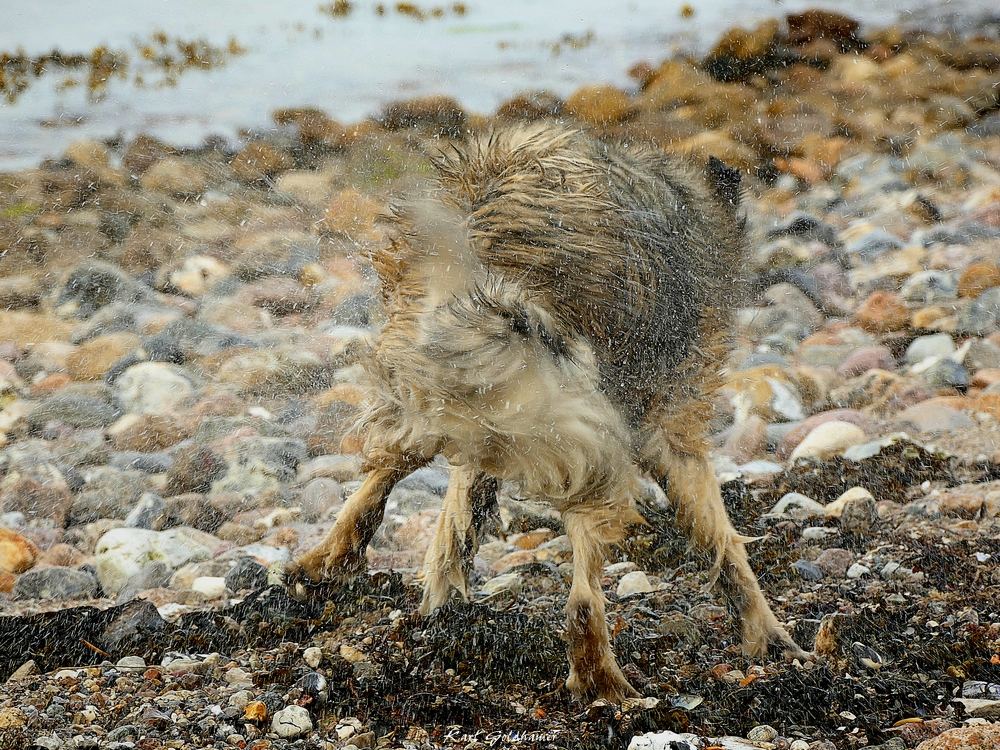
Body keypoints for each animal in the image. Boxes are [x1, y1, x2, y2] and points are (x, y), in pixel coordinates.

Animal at [292, 123, 808, 704]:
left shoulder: (490, 422)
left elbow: (458, 516)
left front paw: (442, 599)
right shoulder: (672, 420)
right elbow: (723, 542)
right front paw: (771, 637)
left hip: (429, 384)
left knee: (383, 473)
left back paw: (326, 561)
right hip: (589, 447)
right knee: (582, 596)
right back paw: (604, 684)